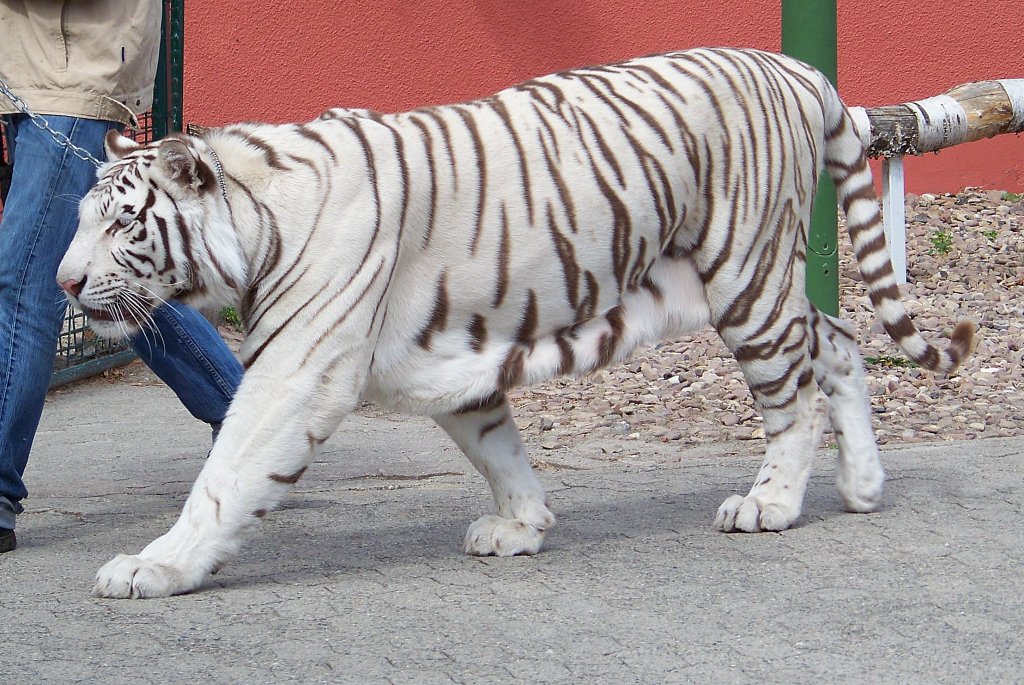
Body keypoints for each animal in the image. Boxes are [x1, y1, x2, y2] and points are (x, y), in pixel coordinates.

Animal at [58, 48, 974, 593]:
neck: (253, 224)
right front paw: (523, 524)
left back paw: (772, 503)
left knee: (794, 395)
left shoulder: (297, 372)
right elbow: (497, 443)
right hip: (753, 282)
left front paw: (155, 565)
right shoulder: (445, 357)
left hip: (746, 276)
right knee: (840, 342)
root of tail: (794, 66)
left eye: (122, 223)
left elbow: (225, 476)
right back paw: (862, 486)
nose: (64, 281)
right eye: (81, 218)